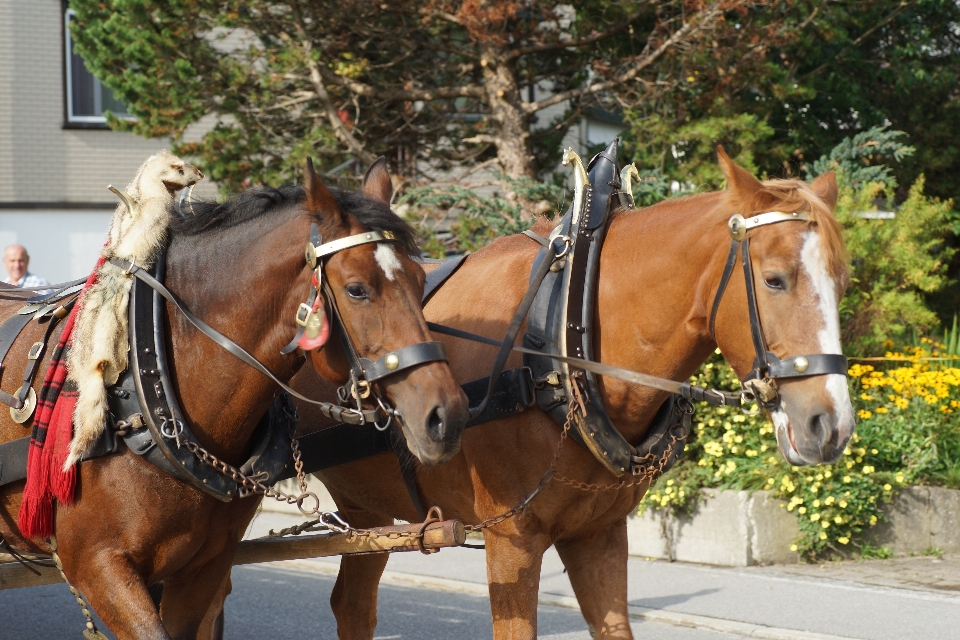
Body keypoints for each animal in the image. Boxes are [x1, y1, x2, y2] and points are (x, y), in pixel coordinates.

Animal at [286, 149, 856, 636]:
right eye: (775, 279)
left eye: (842, 283)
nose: (831, 424)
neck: (560, 340)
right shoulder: (511, 541)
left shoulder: (598, 534)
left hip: (368, 511)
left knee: (353, 606)